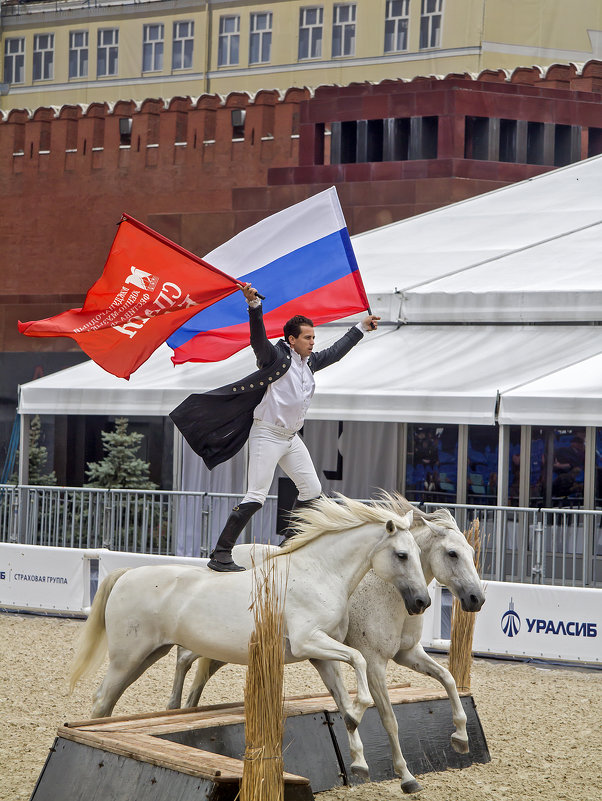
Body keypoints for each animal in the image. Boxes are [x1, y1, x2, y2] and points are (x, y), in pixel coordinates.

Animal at [70, 490, 428, 736]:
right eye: (402, 554)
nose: (422, 602)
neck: (318, 573)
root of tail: (127, 573)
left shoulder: (320, 652)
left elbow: (346, 678)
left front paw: (353, 724)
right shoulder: (308, 641)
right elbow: (359, 658)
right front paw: (360, 709)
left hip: (149, 654)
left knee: (108, 702)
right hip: (127, 657)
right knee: (102, 698)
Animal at [168, 496, 482, 792]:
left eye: (471, 552)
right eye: (452, 553)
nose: (476, 599)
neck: (385, 591)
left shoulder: (408, 654)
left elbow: (448, 678)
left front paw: (461, 737)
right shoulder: (374, 663)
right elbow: (389, 718)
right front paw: (406, 777)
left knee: (196, 679)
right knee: (183, 659)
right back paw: (173, 708)